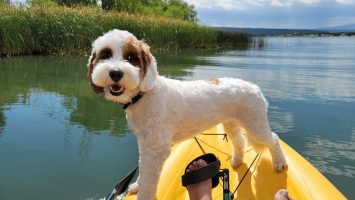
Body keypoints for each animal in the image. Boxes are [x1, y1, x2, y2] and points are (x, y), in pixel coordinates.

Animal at [87, 28, 288, 199]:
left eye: (131, 57)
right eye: (105, 55)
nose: (115, 73)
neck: (144, 94)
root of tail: (254, 87)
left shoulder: (156, 148)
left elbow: (149, 179)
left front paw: (143, 194)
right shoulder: (145, 143)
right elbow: (143, 169)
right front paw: (136, 186)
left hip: (255, 123)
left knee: (273, 138)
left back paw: (279, 163)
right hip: (232, 122)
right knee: (239, 140)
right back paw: (237, 160)